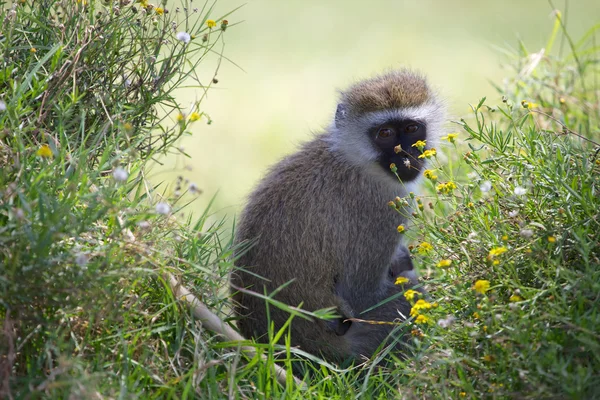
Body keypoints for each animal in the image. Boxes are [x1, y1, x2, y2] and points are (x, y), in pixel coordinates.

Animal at [230, 69, 446, 362]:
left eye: (412, 129)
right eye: (385, 133)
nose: (406, 157)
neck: (355, 161)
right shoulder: (380, 208)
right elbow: (360, 295)